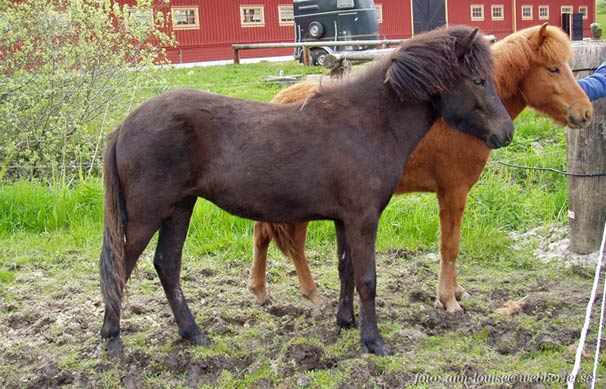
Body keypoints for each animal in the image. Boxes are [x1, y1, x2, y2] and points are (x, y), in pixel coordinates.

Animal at [102, 25, 516, 356]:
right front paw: (374, 342)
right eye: (478, 80)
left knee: (167, 266)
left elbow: (346, 270)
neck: (367, 122)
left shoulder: (344, 220)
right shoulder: (363, 218)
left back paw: (193, 334)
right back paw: (112, 338)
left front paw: (346, 322)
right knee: (122, 265)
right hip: (148, 215)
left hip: (179, 208)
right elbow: (368, 278)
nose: (506, 133)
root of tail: (123, 126)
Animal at [247, 23, 592, 312]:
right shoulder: (453, 192)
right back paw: (312, 294)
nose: (586, 112)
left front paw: (456, 290)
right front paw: (448, 300)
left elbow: (450, 242)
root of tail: (280, 100)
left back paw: (260, 291)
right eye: (553, 68)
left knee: (262, 235)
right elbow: (450, 246)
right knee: (294, 244)